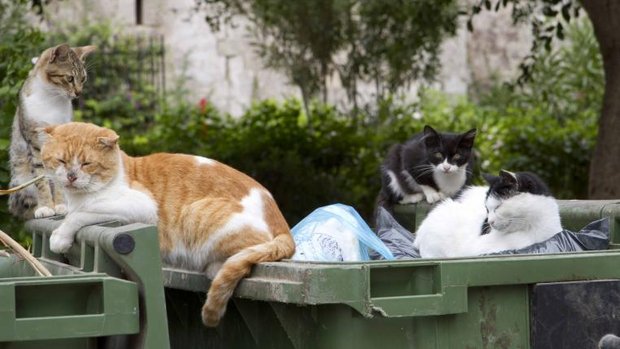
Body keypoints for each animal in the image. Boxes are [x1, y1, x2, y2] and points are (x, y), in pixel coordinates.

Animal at [8, 42, 95, 218]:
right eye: (69, 78)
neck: (51, 99)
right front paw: (46, 207)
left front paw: (61, 205)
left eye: (83, 79)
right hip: (21, 181)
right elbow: (41, 180)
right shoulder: (34, 142)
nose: (79, 93)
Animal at [40, 120, 296, 326]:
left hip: (196, 214)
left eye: (86, 164)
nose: (71, 176)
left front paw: (60, 236)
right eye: (61, 161)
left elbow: (80, 214)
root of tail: (282, 224)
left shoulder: (139, 206)